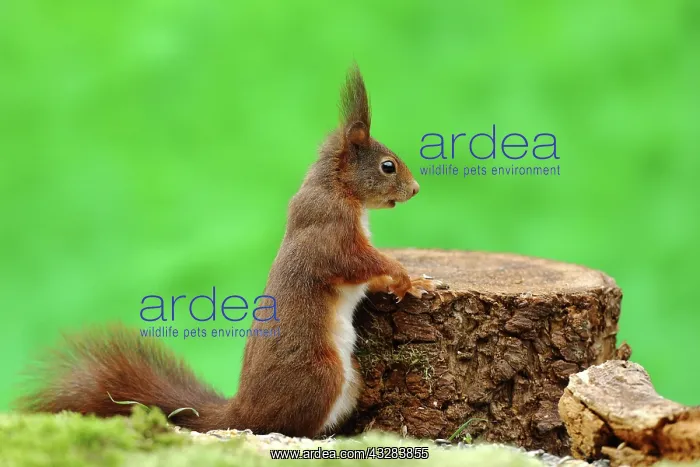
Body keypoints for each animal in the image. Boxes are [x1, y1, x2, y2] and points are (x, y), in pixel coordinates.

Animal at [15, 64, 440, 438]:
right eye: (388, 166)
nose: (417, 189)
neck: (337, 187)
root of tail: (241, 413)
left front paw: (403, 282)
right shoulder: (329, 234)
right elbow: (357, 262)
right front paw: (403, 275)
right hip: (321, 374)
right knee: (290, 428)